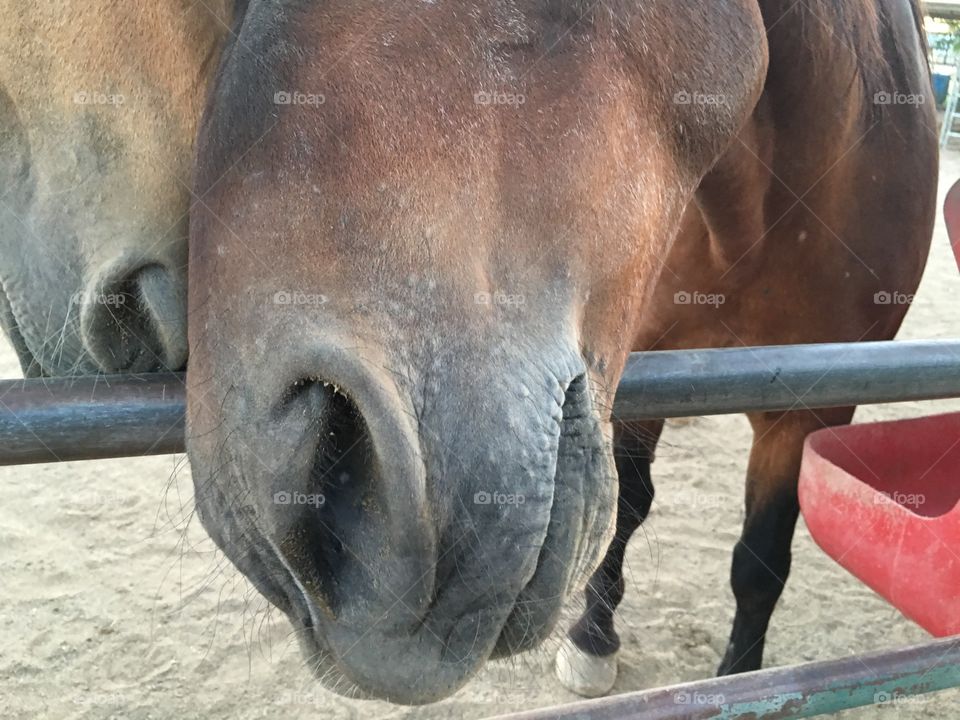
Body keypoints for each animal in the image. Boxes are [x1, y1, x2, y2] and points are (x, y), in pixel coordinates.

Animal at [184, 0, 932, 704]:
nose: (308, 463)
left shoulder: (814, 409)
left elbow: (761, 558)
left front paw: (740, 673)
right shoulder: (639, 366)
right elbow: (632, 508)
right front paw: (593, 641)